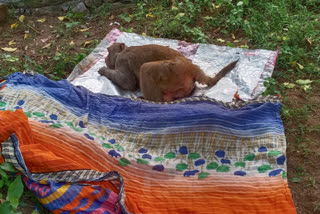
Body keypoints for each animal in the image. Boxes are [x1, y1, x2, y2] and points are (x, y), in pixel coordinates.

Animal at [99, 42, 239, 102]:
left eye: (108, 51)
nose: (105, 58)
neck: (122, 51)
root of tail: (192, 67)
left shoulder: (121, 60)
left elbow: (128, 83)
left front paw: (103, 70)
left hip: (172, 71)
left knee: (145, 69)